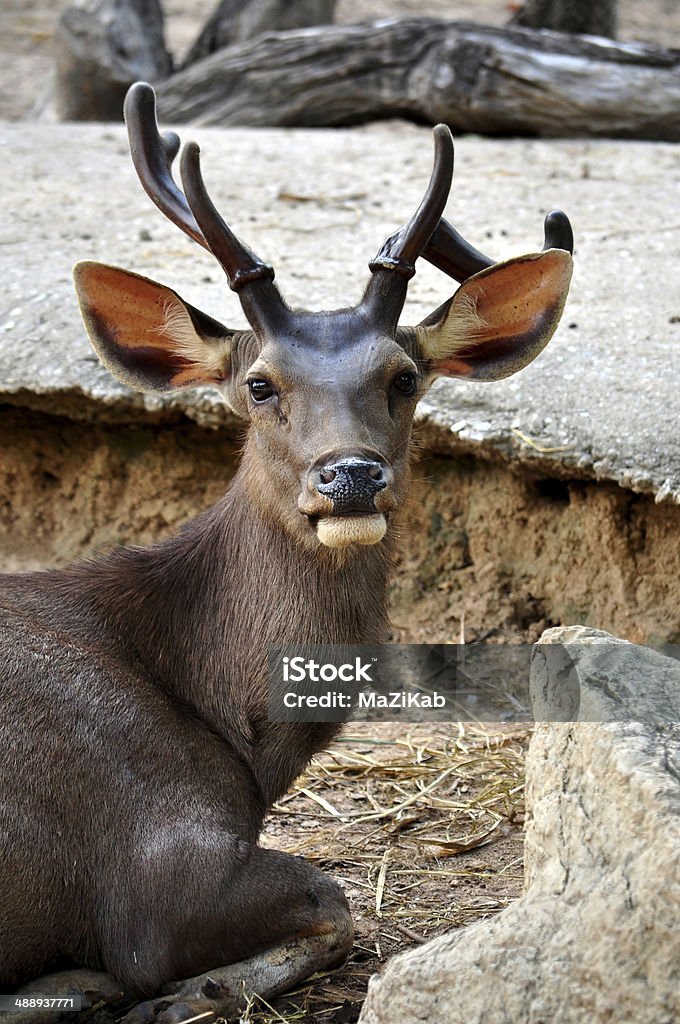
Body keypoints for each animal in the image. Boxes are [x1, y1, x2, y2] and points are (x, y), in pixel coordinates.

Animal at [0, 81, 573, 1024]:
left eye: (404, 377)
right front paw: (177, 994)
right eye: (260, 383)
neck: (232, 731)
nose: (352, 476)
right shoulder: (155, 864)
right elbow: (332, 904)